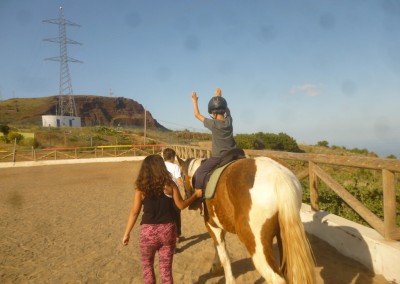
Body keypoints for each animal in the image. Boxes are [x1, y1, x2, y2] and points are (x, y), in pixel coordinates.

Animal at [178, 155, 316, 284]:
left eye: (182, 177)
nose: (189, 201)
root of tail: (279, 177)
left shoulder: (212, 225)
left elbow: (224, 255)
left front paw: (228, 278)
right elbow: (218, 247)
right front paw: (215, 266)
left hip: (256, 245)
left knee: (276, 278)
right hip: (284, 239)